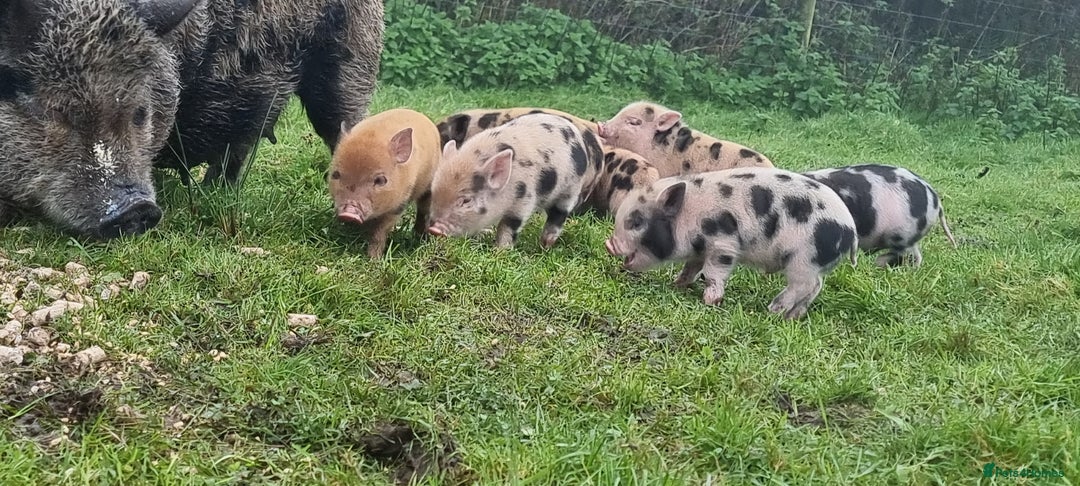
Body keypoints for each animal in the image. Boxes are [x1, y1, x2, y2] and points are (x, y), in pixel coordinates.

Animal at [329, 108, 441, 259]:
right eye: (335, 174)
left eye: (380, 180)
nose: (349, 213)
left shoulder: (398, 205)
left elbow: (380, 232)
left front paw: (373, 259)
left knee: (424, 210)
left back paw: (420, 239)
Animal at [427, 113, 593, 249]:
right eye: (433, 194)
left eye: (466, 200)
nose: (434, 230)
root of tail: (574, 130)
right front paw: (485, 233)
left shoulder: (524, 198)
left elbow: (508, 226)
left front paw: (500, 251)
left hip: (571, 188)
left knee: (559, 214)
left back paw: (546, 244)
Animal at [605, 167, 858, 319]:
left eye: (636, 222)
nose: (609, 244)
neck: (689, 217)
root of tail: (851, 230)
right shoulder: (700, 250)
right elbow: (691, 267)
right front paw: (676, 284)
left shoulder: (723, 244)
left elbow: (713, 272)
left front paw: (710, 301)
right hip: (813, 264)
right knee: (816, 287)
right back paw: (791, 317)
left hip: (803, 259)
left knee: (805, 285)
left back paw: (772, 310)